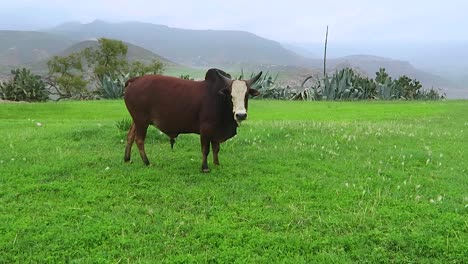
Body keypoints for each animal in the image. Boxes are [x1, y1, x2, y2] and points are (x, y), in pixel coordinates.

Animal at [122, 68, 262, 172]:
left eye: (246, 95)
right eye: (231, 95)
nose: (241, 115)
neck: (219, 98)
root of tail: (135, 80)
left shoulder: (216, 131)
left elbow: (216, 148)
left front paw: (217, 164)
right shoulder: (205, 129)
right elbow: (205, 149)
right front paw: (205, 168)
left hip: (136, 120)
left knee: (130, 136)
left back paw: (127, 159)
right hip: (142, 121)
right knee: (139, 140)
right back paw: (147, 162)